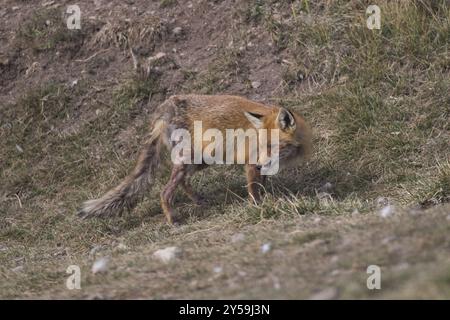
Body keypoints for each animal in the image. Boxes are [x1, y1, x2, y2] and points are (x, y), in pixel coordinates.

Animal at [77, 94, 312, 225]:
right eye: (261, 146)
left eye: (272, 146)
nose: (259, 163)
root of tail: (163, 108)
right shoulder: (250, 164)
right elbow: (254, 191)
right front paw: (259, 207)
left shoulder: (261, 167)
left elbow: (262, 186)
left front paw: (269, 199)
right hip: (190, 159)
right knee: (165, 191)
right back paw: (173, 220)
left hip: (201, 160)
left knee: (183, 182)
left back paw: (199, 200)